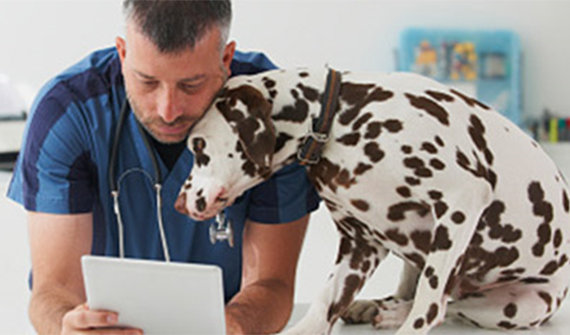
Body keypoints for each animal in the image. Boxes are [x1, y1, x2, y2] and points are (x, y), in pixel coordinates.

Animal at [173, 69, 568, 335]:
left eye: (198, 146)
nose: (178, 204)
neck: (339, 121)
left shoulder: (463, 197)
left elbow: (430, 302)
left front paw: (409, 323)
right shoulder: (360, 247)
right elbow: (323, 303)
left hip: (515, 306)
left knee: (450, 304)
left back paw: (396, 313)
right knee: (417, 291)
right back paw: (375, 306)